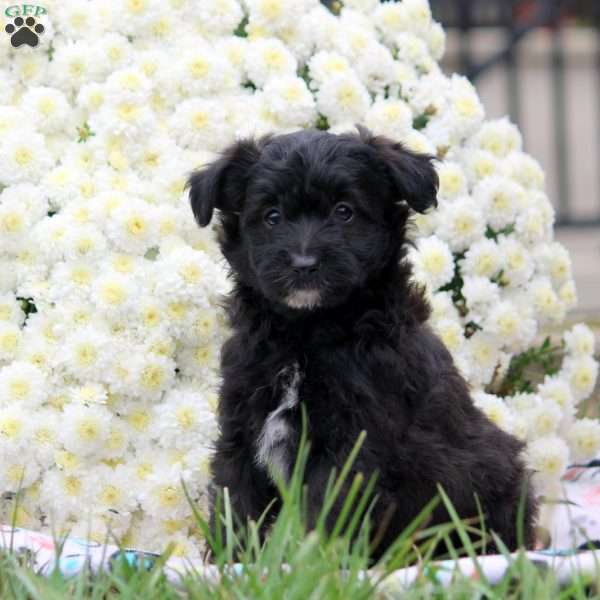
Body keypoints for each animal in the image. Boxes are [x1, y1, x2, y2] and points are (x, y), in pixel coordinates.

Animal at [186, 125, 536, 556]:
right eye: (272, 217)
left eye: (344, 211)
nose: (303, 265)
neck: (304, 335)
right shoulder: (242, 423)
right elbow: (235, 499)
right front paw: (232, 562)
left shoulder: (354, 440)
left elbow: (325, 512)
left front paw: (309, 562)